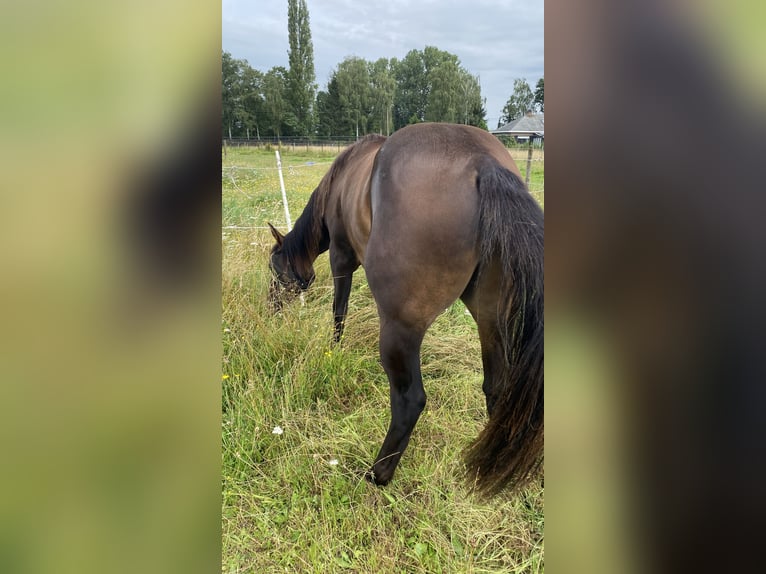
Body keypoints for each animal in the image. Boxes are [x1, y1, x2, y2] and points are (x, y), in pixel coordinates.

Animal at [268, 124, 544, 498]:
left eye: (274, 267)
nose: (269, 307)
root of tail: (482, 162)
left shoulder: (341, 257)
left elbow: (339, 310)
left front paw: (334, 349)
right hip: (490, 318)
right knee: (497, 388)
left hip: (402, 327)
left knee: (410, 400)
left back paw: (378, 473)